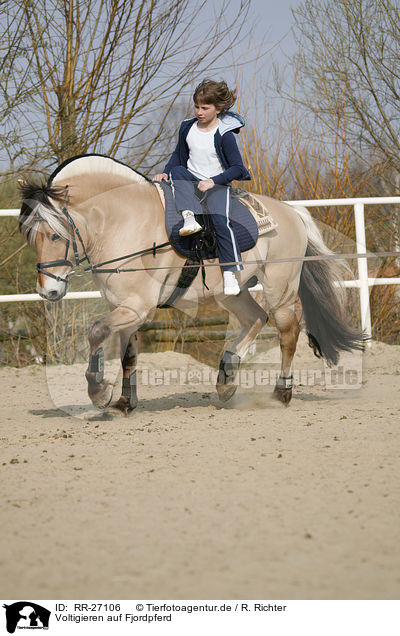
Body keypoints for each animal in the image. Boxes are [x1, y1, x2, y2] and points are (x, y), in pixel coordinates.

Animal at [18, 154, 362, 412]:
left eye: (55, 235)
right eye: (30, 237)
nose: (48, 291)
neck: (125, 222)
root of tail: (291, 212)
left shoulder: (137, 307)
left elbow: (96, 332)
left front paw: (98, 391)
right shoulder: (124, 307)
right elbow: (127, 354)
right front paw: (125, 402)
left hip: (281, 288)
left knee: (287, 333)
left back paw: (281, 393)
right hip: (232, 291)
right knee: (255, 319)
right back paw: (226, 381)